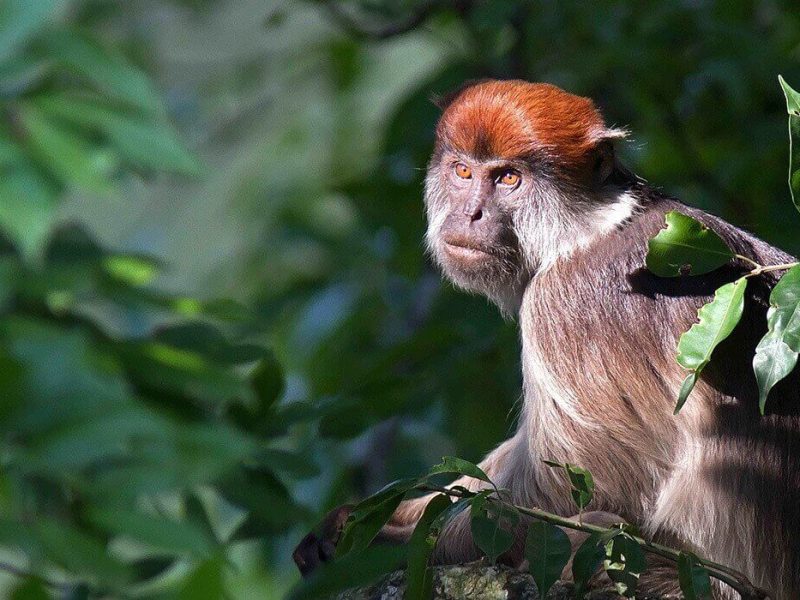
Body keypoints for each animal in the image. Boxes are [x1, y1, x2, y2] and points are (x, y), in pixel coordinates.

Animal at [293, 80, 800, 599]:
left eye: (508, 179)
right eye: (462, 171)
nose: (470, 214)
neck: (587, 230)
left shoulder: (562, 303)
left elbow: (588, 488)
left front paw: (379, 545)